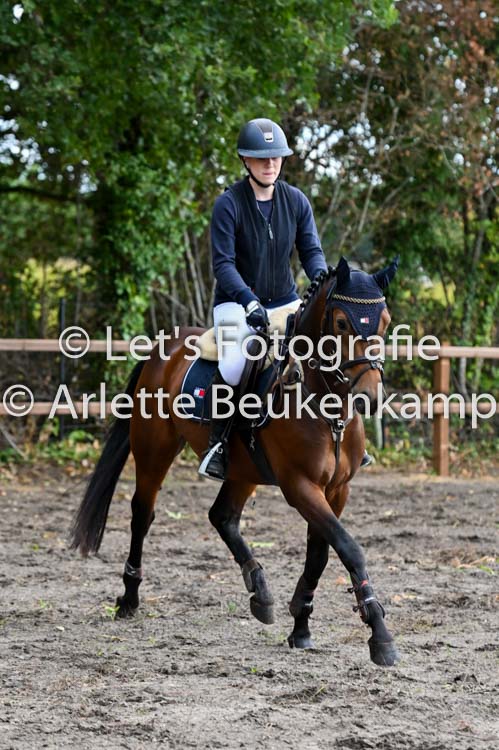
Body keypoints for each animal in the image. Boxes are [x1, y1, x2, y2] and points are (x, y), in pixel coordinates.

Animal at [70, 256, 400, 667]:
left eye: (385, 321)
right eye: (341, 323)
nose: (369, 397)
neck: (324, 406)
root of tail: (164, 347)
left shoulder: (337, 489)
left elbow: (320, 554)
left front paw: (301, 625)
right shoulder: (300, 486)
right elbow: (349, 548)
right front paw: (380, 636)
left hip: (244, 470)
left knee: (222, 516)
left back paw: (260, 591)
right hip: (154, 453)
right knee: (142, 515)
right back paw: (129, 598)